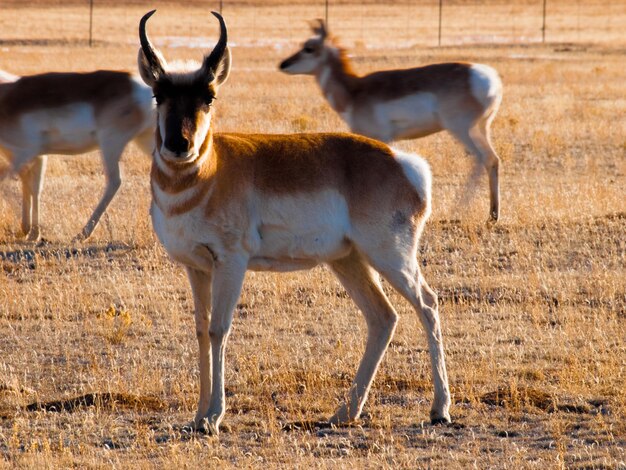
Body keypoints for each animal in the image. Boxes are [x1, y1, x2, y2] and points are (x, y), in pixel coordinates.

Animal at [0, 69, 155, 242]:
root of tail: (139, 86)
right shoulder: (37, 158)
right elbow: (33, 188)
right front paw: (32, 233)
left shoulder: (24, 154)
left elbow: (6, 183)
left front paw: (31, 231)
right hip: (143, 141)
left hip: (111, 144)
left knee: (115, 181)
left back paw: (82, 234)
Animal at [136, 11, 448, 436]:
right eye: (158, 95)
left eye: (209, 96)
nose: (179, 145)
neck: (210, 171)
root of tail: (403, 163)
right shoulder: (196, 267)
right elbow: (201, 330)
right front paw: (198, 416)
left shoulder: (231, 263)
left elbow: (219, 329)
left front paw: (214, 417)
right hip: (348, 261)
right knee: (383, 317)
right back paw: (345, 412)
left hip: (391, 258)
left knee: (427, 304)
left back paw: (439, 409)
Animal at [278, 20, 502, 222]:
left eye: (309, 48)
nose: (283, 64)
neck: (355, 91)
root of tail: (488, 78)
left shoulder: (380, 138)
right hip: (480, 129)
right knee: (492, 159)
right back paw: (492, 215)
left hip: (460, 129)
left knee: (480, 159)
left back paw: (458, 210)